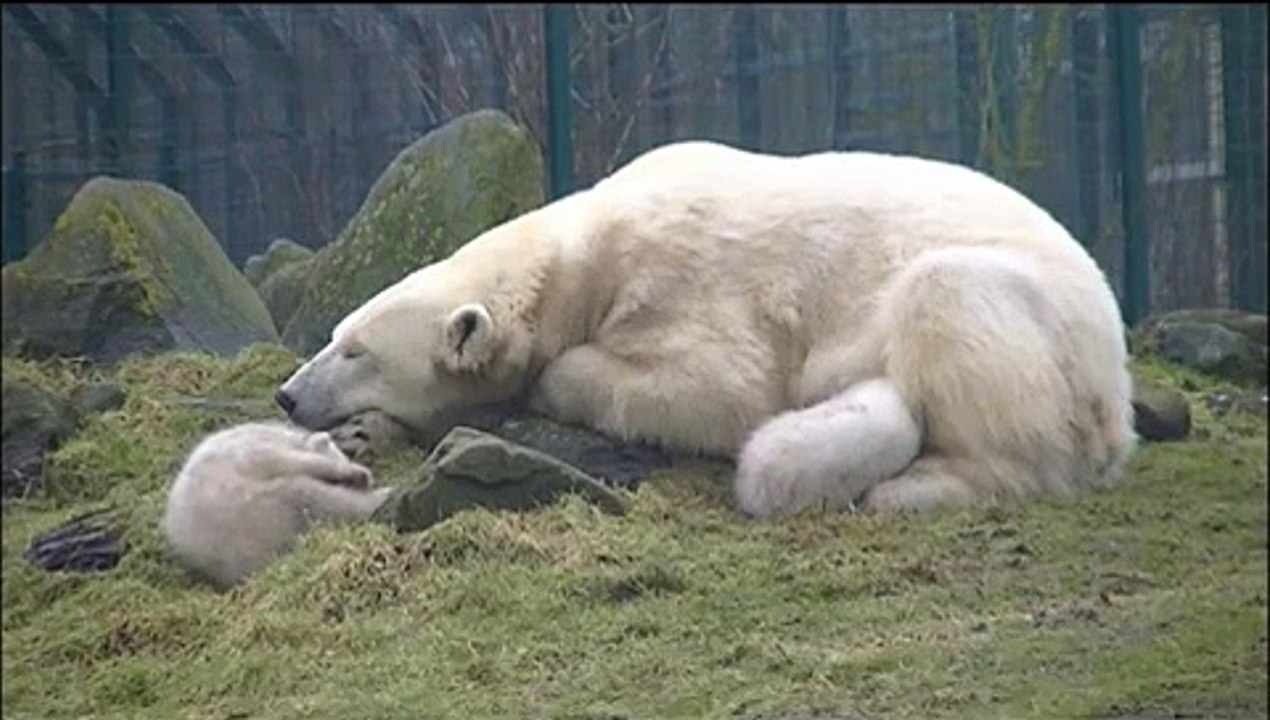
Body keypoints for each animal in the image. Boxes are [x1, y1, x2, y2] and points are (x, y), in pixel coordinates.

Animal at [274, 140, 1136, 516]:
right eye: (333, 334)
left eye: (355, 351)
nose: (286, 395)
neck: (579, 253)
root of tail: (1116, 380)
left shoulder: (683, 280)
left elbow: (717, 392)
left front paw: (548, 384)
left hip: (1035, 326)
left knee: (953, 308)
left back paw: (917, 484)